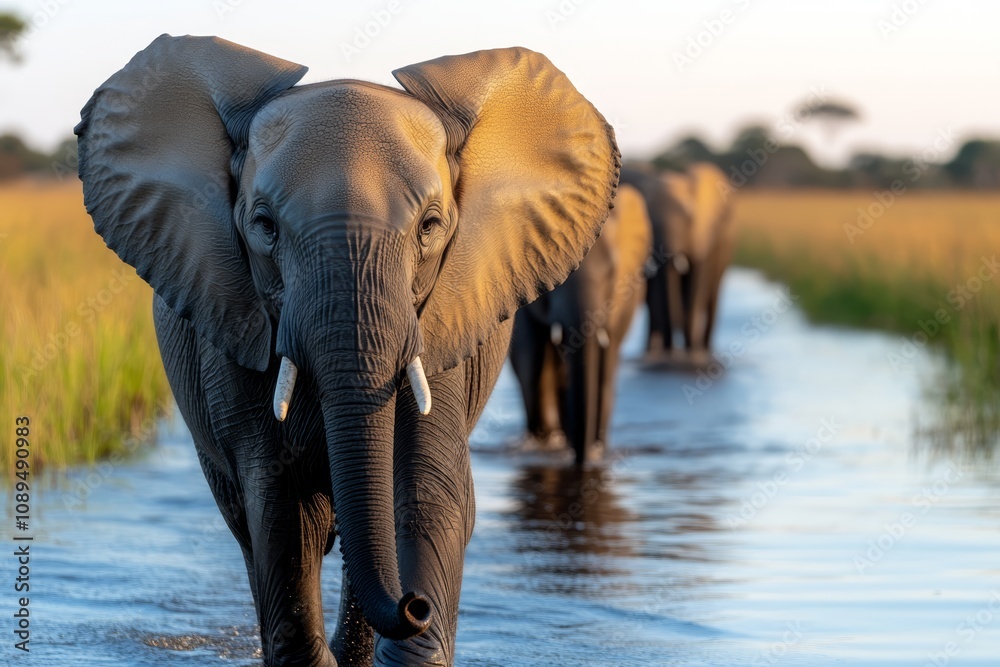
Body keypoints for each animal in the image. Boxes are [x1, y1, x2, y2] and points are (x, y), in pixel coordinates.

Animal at [75, 35, 618, 667]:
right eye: (265, 226)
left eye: (430, 226)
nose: (413, 605)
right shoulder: (233, 320)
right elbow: (280, 507)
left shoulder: (438, 319)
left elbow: (429, 490)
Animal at [620, 162, 733, 363]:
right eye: (647, 221)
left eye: (688, 219)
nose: (670, 349)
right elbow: (657, 295)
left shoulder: (702, 235)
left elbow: (694, 287)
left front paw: (689, 354)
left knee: (713, 294)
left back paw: (703, 350)